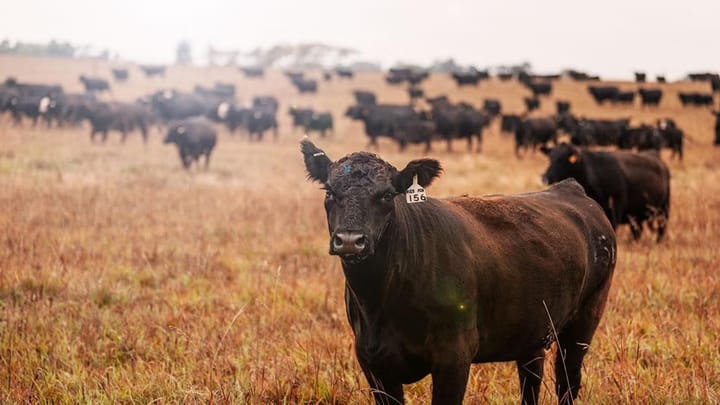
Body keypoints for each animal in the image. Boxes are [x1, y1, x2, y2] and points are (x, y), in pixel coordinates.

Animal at [301, 139, 616, 405]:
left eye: (387, 194)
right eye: (329, 191)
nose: (350, 240)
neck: (380, 302)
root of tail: (569, 187)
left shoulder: (453, 357)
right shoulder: (373, 362)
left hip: (584, 321)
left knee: (568, 380)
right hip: (532, 328)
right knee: (531, 379)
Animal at [541, 143, 670, 242]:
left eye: (561, 160)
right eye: (550, 158)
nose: (545, 177)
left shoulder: (617, 205)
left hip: (663, 210)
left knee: (661, 228)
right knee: (637, 230)